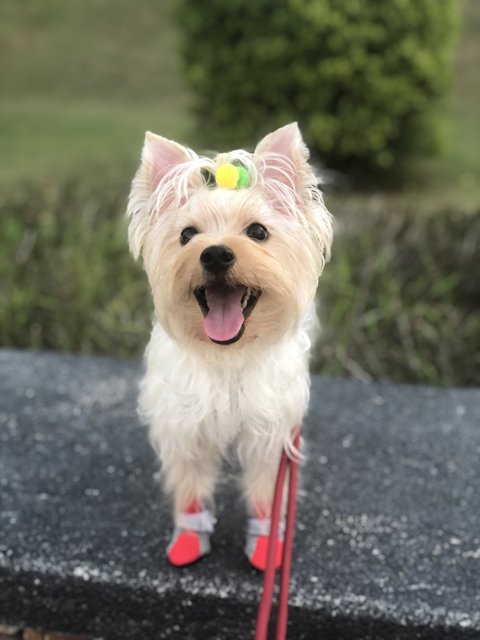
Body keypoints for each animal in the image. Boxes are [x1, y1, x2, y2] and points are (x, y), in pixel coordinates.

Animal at [125, 122, 332, 568]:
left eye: (258, 231)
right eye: (187, 234)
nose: (216, 254)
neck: (228, 355)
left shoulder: (270, 433)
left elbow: (266, 494)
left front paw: (265, 545)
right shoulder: (184, 426)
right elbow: (189, 486)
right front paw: (189, 538)